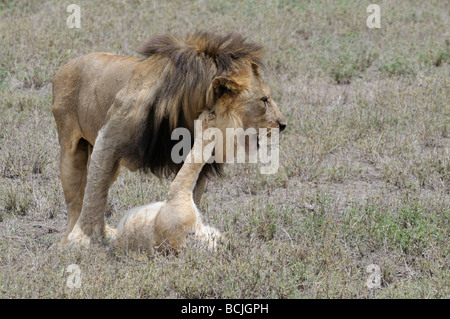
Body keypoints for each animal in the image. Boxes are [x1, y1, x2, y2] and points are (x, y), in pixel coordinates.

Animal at [51, 31, 284, 246]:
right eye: (264, 99)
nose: (283, 125)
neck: (191, 108)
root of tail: (67, 64)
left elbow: (190, 190)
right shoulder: (108, 140)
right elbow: (95, 193)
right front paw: (83, 239)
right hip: (71, 148)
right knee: (77, 200)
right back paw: (68, 239)